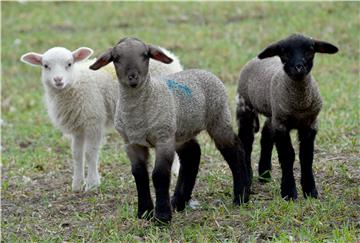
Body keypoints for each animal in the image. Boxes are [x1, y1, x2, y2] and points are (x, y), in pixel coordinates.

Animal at [20, 46, 183, 192]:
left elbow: (90, 153)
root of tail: (169, 55)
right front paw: (77, 185)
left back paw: (174, 170)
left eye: (69, 64)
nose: (58, 80)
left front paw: (92, 184)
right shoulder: (78, 127)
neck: (76, 83)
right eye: (46, 66)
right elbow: (77, 154)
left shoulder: (93, 120)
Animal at [90, 37, 250, 223]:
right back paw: (178, 202)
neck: (138, 114)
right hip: (181, 132)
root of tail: (204, 71)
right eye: (116, 58)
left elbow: (159, 175)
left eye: (145, 55)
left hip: (218, 118)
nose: (133, 77)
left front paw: (162, 216)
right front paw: (144, 212)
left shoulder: (163, 139)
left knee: (234, 149)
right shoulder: (132, 143)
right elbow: (139, 175)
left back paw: (241, 195)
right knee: (192, 155)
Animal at [236, 33, 338, 201]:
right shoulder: (282, 125)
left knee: (266, 136)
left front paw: (310, 191)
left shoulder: (309, 124)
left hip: (273, 112)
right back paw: (248, 177)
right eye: (284, 52)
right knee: (246, 141)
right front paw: (289, 192)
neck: (299, 104)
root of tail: (255, 59)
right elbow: (287, 156)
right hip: (245, 105)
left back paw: (264, 174)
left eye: (310, 50)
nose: (299, 67)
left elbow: (306, 156)